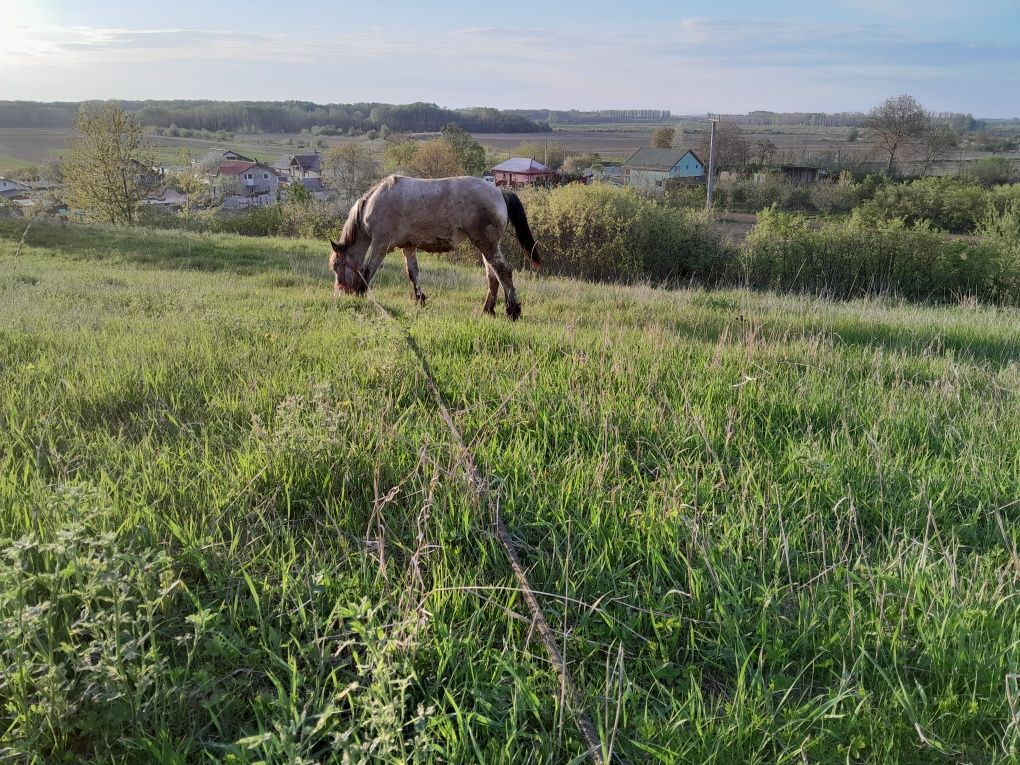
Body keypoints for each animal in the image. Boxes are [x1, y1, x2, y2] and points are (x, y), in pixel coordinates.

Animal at [332, 176, 542, 320]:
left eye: (335, 267)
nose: (339, 293)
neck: (374, 204)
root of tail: (499, 192)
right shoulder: (408, 247)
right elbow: (413, 273)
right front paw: (420, 299)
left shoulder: (380, 245)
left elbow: (367, 271)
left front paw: (361, 294)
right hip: (486, 246)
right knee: (493, 276)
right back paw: (488, 309)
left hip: (487, 245)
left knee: (504, 272)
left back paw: (512, 310)